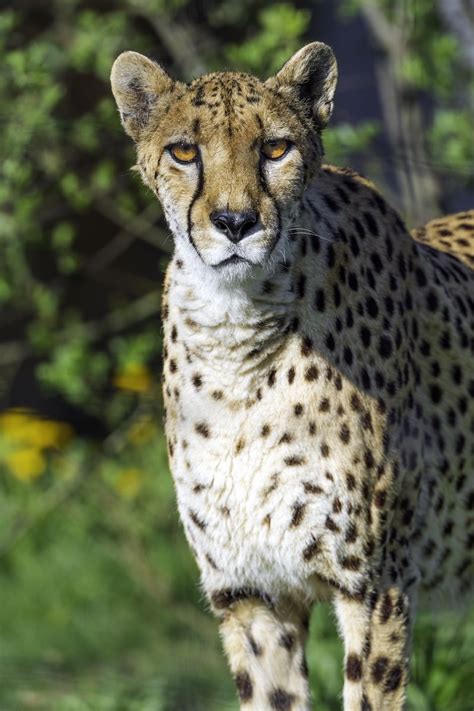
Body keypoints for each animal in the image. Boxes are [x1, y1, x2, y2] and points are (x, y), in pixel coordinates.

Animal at [110, 43, 474, 711]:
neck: (237, 339)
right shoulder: (253, 595)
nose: (235, 222)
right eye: (185, 152)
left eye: (275, 149)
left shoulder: (375, 587)